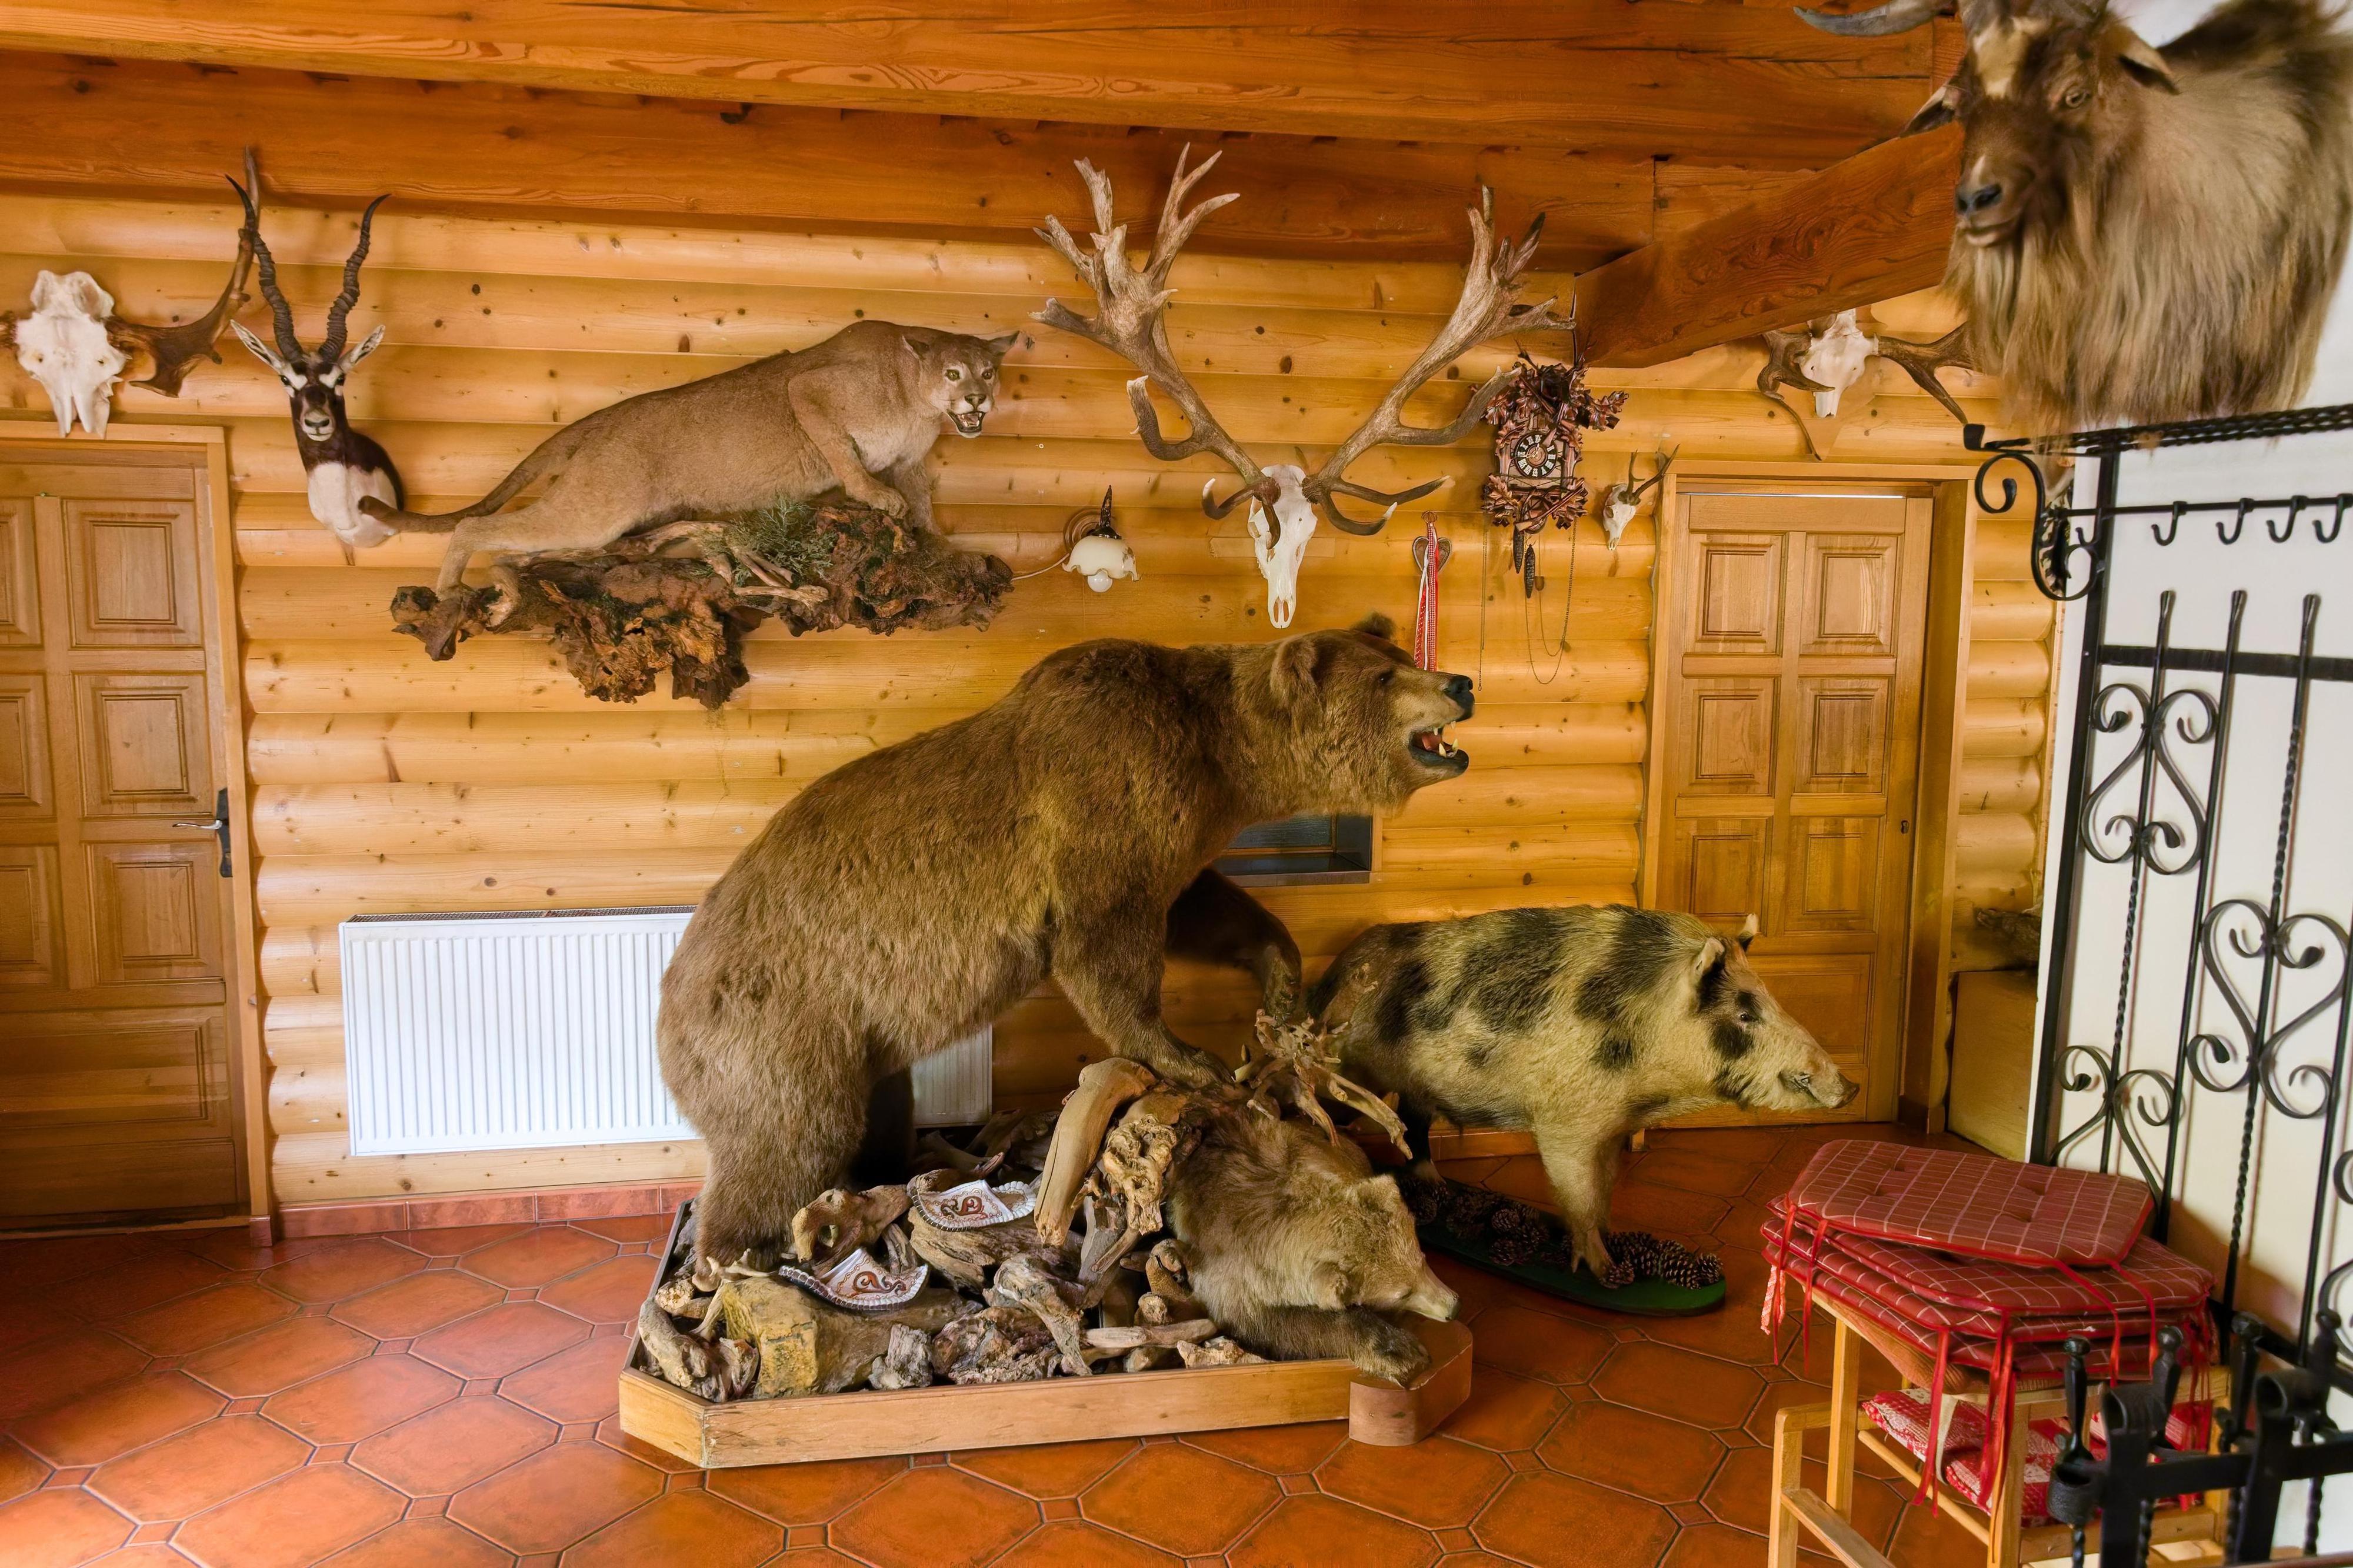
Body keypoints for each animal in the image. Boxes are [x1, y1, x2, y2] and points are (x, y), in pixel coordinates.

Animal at [657, 613, 1475, 1266]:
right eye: (1386, 673)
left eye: (1400, 650)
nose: (1462, 680)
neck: (1220, 760)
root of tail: (664, 1012)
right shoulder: (1107, 800)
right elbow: (1106, 945)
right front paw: (1191, 1056)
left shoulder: (1176, 837)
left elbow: (1202, 908)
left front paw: (1279, 979)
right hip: (780, 1024)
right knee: (787, 1140)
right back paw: (729, 1257)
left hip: (858, 1044)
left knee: (877, 1109)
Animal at [1166, 1102, 1459, 1380]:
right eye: (1402, 1293)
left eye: (1422, 1259)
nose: (1453, 1307)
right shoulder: (1231, 1271)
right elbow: (1279, 1323)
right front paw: (1401, 1353)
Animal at [1308, 905, 1856, 1280]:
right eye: (1744, 1013)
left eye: (1772, 999)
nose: (1849, 1086)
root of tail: (1334, 974)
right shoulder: (1563, 1125)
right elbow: (1580, 1194)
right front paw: (1605, 1273)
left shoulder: (1613, 1127)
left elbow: (1607, 1186)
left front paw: (1619, 1244)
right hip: (1352, 1072)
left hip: (1416, 1091)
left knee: (1416, 1127)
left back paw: (1437, 1187)